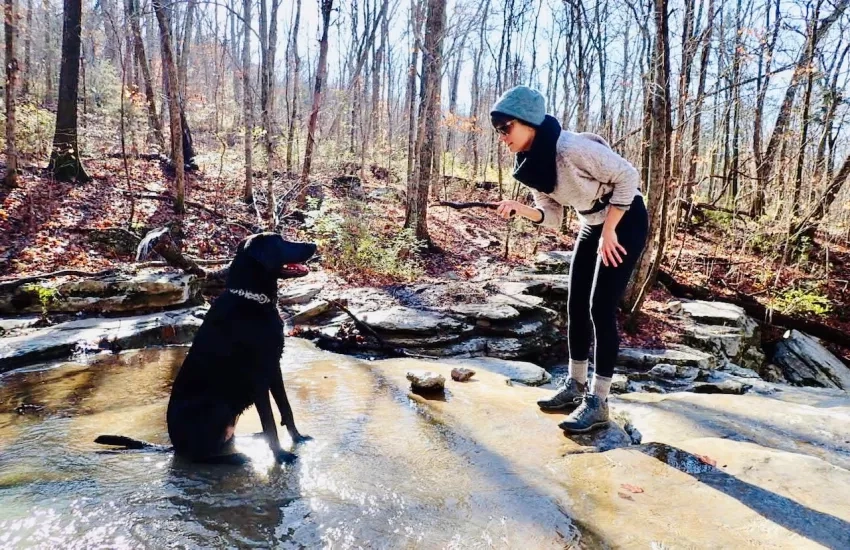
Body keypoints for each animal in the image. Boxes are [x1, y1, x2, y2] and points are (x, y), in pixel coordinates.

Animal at [96, 233, 314, 466]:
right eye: (280, 242)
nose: (314, 245)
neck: (251, 299)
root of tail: (175, 446)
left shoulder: (274, 368)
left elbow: (286, 408)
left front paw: (297, 438)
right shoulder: (258, 378)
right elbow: (269, 422)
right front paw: (280, 455)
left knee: (225, 441)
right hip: (218, 406)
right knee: (200, 457)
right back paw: (236, 458)